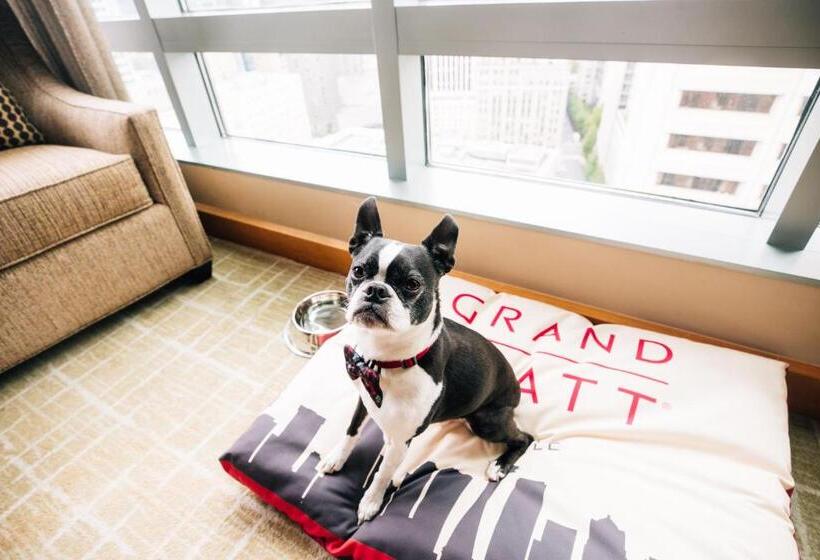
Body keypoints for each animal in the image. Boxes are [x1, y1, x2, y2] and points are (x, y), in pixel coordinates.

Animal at [318, 198, 536, 524]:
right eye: (358, 271)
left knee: (524, 437)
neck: (386, 362)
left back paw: (500, 465)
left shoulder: (401, 440)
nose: (376, 290)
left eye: (411, 284)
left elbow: (383, 473)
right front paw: (335, 458)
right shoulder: (363, 399)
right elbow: (351, 432)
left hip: (488, 421)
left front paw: (371, 502)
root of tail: (516, 388)